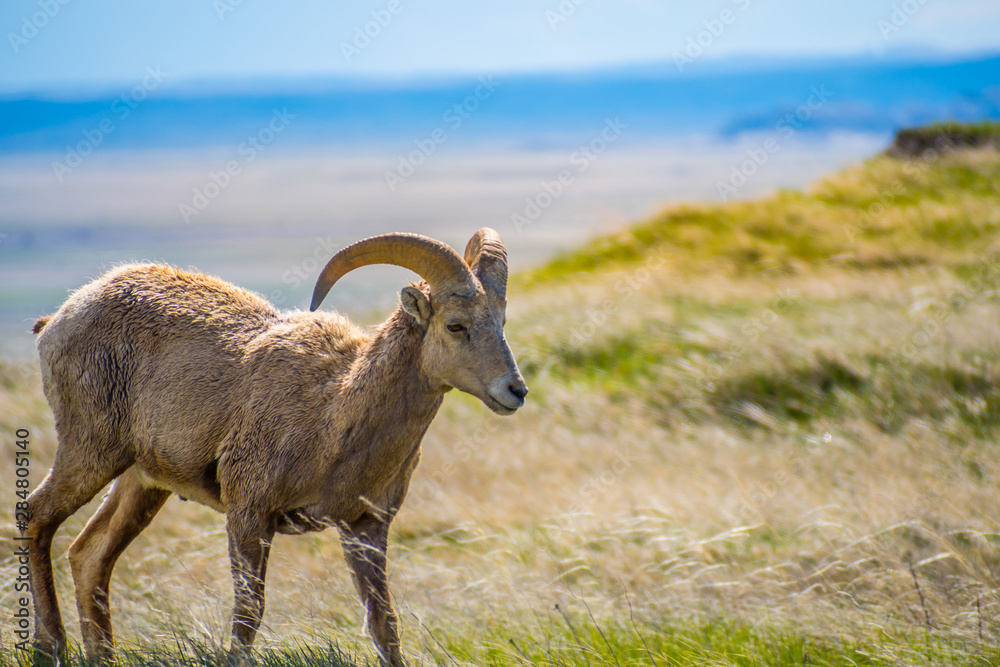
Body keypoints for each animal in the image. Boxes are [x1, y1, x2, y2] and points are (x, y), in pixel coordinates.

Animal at [24, 228, 528, 667]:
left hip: (142, 485)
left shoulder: (365, 527)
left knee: (89, 556)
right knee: (38, 518)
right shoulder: (249, 514)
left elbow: (384, 623)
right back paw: (51, 649)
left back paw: (100, 655)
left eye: (502, 322)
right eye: (456, 325)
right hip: (89, 453)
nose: (515, 391)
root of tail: (57, 322)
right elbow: (249, 615)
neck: (334, 414)